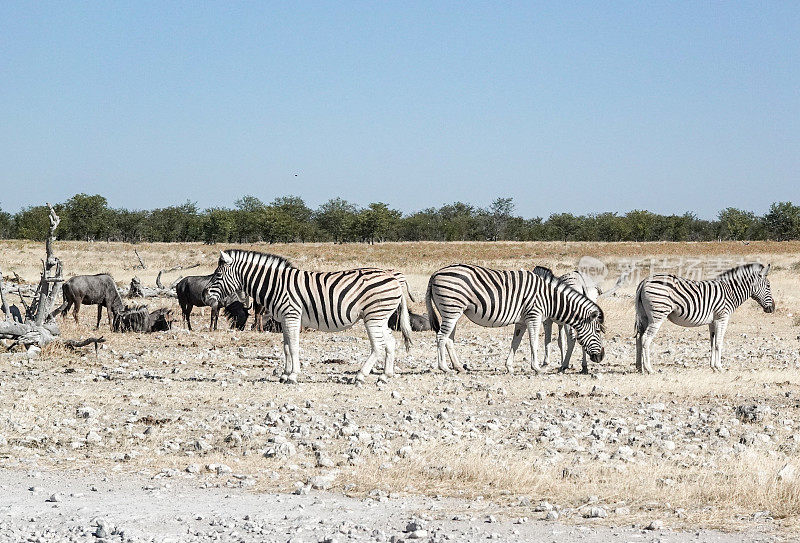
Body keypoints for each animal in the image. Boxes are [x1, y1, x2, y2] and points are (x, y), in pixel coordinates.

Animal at [202, 252, 412, 384]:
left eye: (217, 275)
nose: (204, 295)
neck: (275, 285)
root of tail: (394, 277)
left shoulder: (291, 315)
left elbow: (293, 346)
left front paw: (293, 376)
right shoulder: (284, 318)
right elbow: (286, 347)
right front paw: (284, 374)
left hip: (373, 317)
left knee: (378, 346)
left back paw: (360, 376)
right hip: (380, 317)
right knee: (390, 343)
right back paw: (385, 376)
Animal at [422, 264, 604, 374]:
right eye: (598, 331)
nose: (601, 358)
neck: (550, 298)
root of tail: (435, 273)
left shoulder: (522, 321)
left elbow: (515, 342)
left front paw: (509, 366)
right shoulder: (534, 316)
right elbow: (534, 342)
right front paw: (537, 368)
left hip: (452, 311)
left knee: (449, 339)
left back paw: (459, 366)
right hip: (451, 309)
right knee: (441, 337)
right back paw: (444, 368)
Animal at [636, 264, 772, 374]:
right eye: (768, 286)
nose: (772, 309)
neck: (730, 292)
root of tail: (644, 281)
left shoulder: (712, 321)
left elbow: (712, 342)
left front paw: (713, 367)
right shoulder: (722, 318)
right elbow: (718, 343)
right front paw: (720, 367)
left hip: (644, 316)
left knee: (639, 337)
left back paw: (639, 368)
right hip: (658, 315)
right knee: (645, 339)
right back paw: (649, 369)